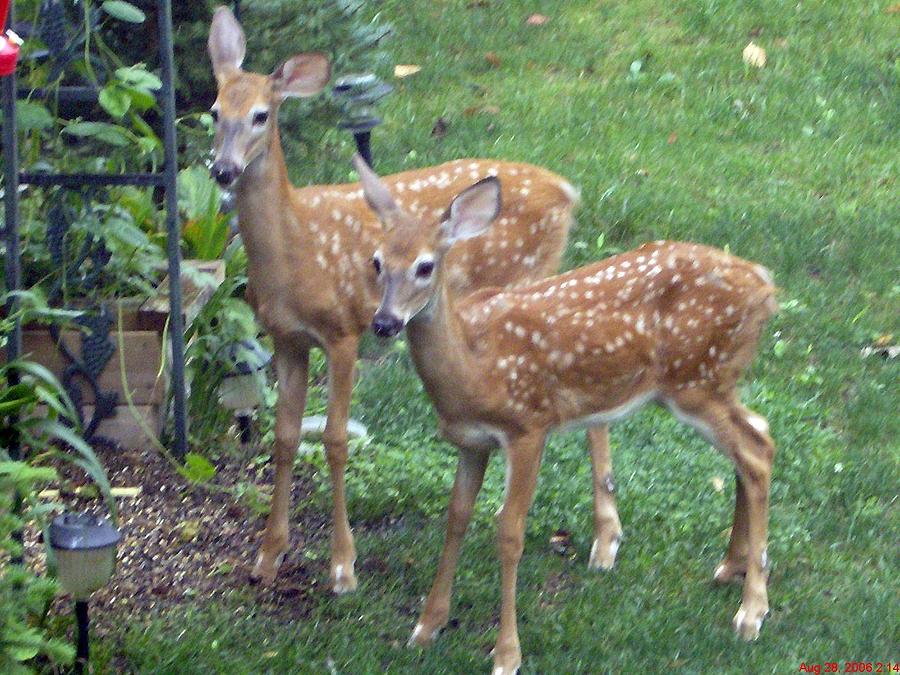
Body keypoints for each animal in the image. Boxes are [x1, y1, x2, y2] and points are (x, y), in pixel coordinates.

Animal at [207, 7, 580, 596]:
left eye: (262, 115)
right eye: (216, 110)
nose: (222, 169)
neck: (295, 248)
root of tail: (567, 191)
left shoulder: (341, 330)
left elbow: (335, 439)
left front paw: (342, 566)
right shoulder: (286, 337)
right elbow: (285, 438)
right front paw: (268, 556)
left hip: (526, 277)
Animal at [356, 156, 776, 672]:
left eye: (425, 266)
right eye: (377, 262)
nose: (384, 322)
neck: (474, 367)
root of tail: (766, 286)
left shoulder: (529, 424)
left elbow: (509, 532)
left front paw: (507, 653)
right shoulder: (472, 441)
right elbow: (456, 519)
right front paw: (426, 626)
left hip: (697, 380)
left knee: (756, 452)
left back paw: (752, 611)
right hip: (710, 382)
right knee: (757, 436)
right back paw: (731, 568)